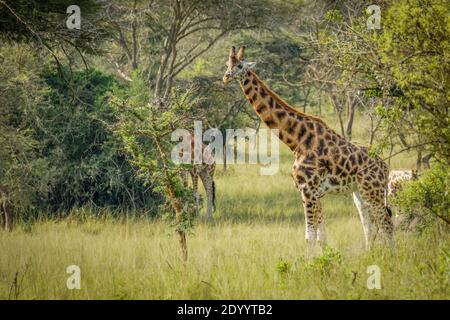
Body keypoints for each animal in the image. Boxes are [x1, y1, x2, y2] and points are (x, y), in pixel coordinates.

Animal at [221, 46, 394, 250]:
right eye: (227, 64)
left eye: (240, 66)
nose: (225, 77)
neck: (297, 141)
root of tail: (386, 167)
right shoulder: (314, 193)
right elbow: (321, 237)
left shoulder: (308, 190)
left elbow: (310, 237)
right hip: (359, 192)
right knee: (370, 226)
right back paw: (369, 254)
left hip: (372, 191)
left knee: (386, 223)